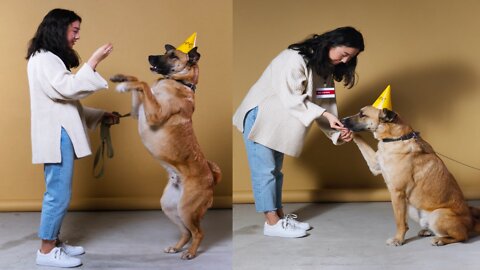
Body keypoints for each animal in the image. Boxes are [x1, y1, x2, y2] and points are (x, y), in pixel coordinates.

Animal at [109, 44, 220, 260]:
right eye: (166, 50)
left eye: (173, 55)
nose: (150, 56)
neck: (180, 82)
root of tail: (211, 178)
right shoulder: (137, 112)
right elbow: (137, 79)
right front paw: (122, 79)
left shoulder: (154, 114)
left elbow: (143, 83)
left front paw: (124, 85)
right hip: (169, 206)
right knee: (186, 232)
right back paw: (176, 247)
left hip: (186, 208)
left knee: (198, 232)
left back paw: (190, 253)